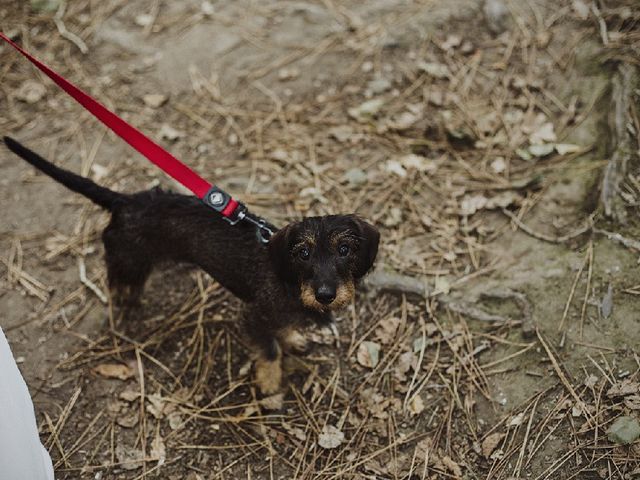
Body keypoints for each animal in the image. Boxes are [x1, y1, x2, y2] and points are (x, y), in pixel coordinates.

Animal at [2, 137, 378, 396]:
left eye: (344, 249)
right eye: (303, 253)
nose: (326, 295)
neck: (288, 280)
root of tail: (126, 201)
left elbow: (281, 332)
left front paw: (293, 339)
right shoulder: (253, 316)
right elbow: (269, 351)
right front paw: (270, 386)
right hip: (129, 264)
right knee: (117, 284)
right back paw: (123, 306)